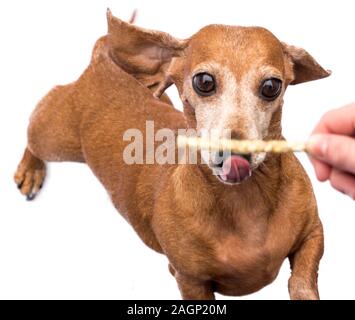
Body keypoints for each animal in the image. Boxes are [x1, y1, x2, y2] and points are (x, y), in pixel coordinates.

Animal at [13, 10, 330, 300]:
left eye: (271, 86)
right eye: (204, 81)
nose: (234, 154)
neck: (246, 202)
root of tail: (102, 60)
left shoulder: (313, 234)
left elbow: (301, 281)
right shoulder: (189, 280)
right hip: (53, 138)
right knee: (33, 131)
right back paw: (30, 170)